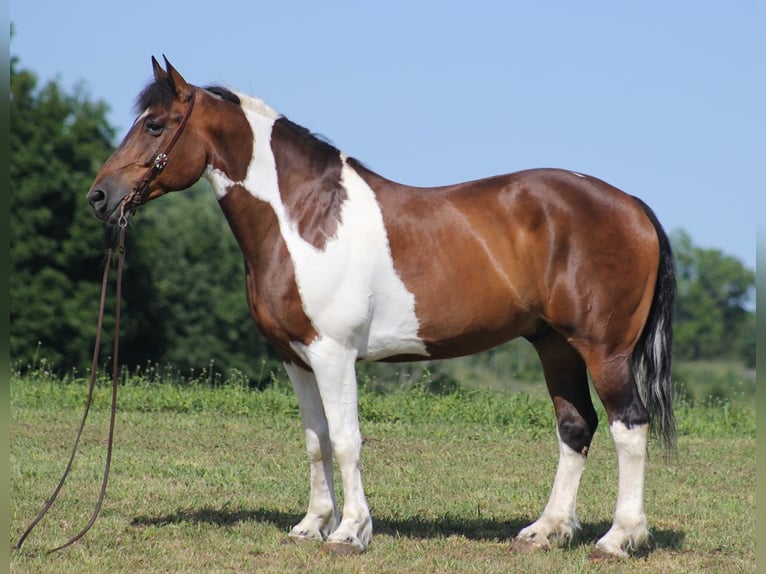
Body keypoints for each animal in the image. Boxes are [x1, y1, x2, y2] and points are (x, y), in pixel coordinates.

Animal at [87, 58, 676, 564]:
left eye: (155, 125)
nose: (99, 197)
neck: (305, 219)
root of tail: (633, 207)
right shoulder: (295, 358)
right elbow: (316, 440)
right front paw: (311, 525)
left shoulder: (333, 354)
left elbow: (347, 440)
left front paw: (349, 532)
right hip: (555, 345)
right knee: (575, 427)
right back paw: (545, 531)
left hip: (603, 350)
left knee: (629, 426)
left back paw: (618, 539)